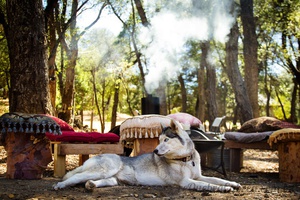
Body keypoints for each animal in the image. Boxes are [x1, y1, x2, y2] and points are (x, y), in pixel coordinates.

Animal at [53, 119, 241, 191]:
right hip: (105, 169)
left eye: (166, 140)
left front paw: (232, 183)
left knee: (91, 180)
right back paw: (60, 185)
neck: (186, 160)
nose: (155, 151)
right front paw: (224, 189)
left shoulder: (199, 176)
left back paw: (91, 185)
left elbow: (216, 179)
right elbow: (208, 185)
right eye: (159, 140)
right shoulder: (186, 182)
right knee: (74, 177)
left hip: (111, 178)